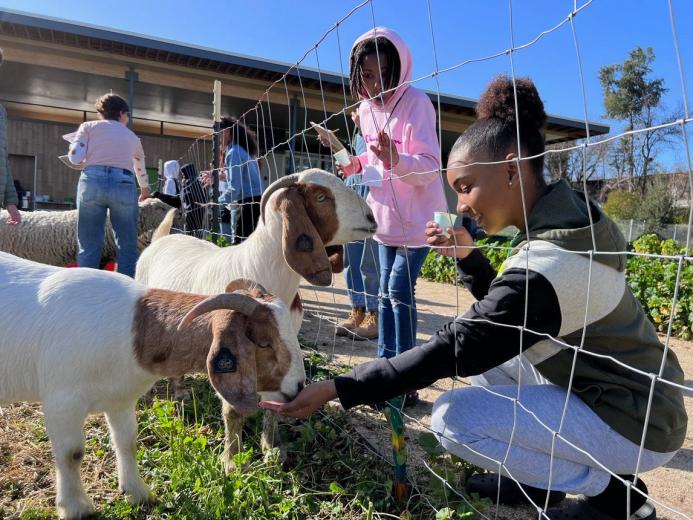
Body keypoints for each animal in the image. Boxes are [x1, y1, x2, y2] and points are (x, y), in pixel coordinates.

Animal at [0, 250, 306, 516]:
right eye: (264, 343)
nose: (299, 387)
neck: (133, 330)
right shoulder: (63, 402)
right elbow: (71, 454)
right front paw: (76, 509)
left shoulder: (120, 400)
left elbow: (126, 441)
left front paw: (138, 493)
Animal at [135, 169, 378, 470]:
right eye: (321, 196)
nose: (372, 218)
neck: (263, 269)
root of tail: (161, 239)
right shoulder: (231, 348)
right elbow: (232, 410)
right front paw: (232, 461)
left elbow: (273, 401)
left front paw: (271, 449)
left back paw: (179, 393)